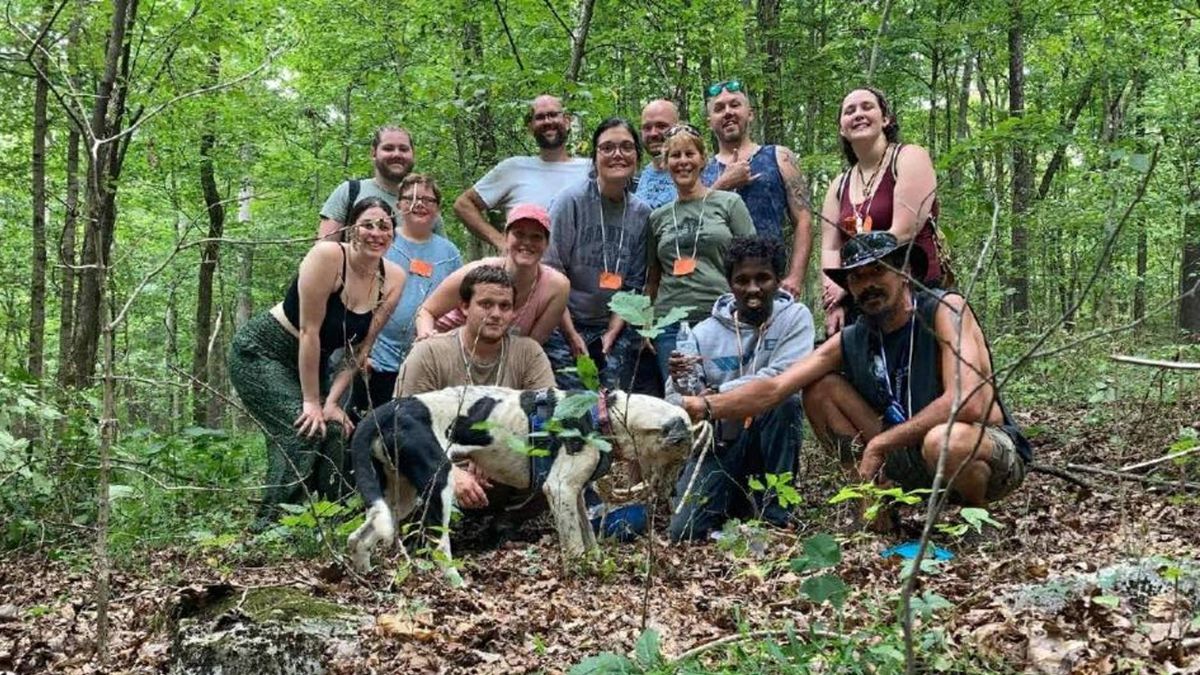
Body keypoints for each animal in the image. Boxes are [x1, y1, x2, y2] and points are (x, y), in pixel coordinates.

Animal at [343, 386, 705, 576]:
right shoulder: (559, 489)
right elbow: (574, 546)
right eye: (682, 455)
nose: (674, 490)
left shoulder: (573, 493)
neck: (604, 416)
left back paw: (365, 578)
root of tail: (384, 412)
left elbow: (589, 538)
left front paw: (596, 565)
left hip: (398, 495)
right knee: (439, 549)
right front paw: (581, 576)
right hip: (440, 485)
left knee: (359, 538)